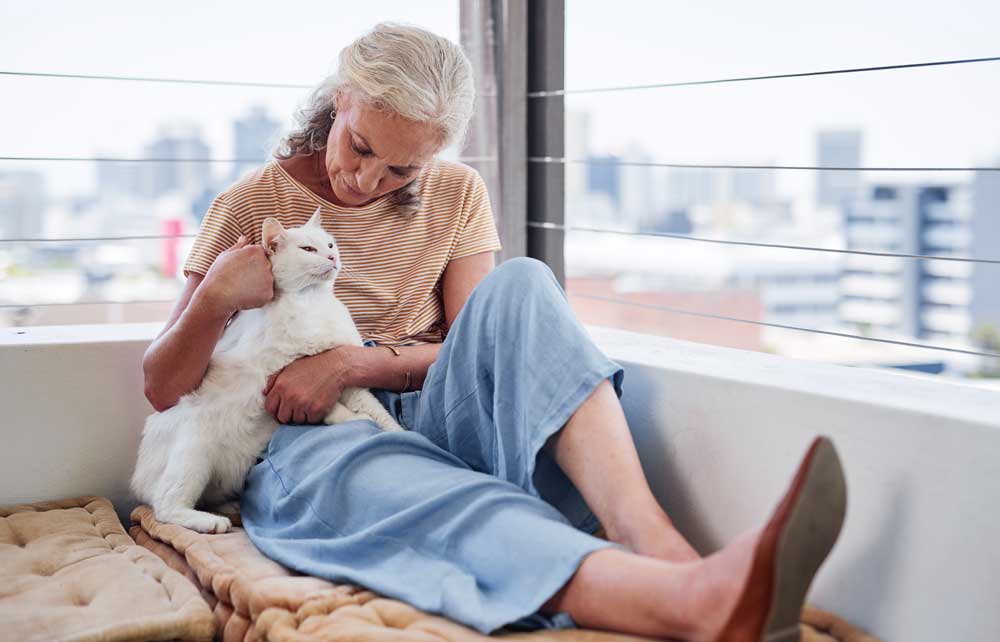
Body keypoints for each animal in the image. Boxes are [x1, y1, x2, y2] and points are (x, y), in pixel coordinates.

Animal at [131, 209, 404, 528]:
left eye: (330, 244)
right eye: (308, 249)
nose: (332, 257)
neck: (312, 302)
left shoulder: (348, 382)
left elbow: (380, 413)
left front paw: (399, 434)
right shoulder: (275, 379)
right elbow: (333, 408)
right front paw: (355, 420)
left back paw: (228, 508)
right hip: (194, 450)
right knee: (166, 507)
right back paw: (211, 522)